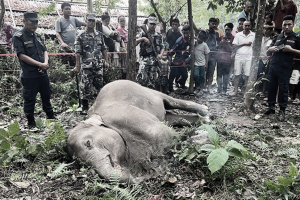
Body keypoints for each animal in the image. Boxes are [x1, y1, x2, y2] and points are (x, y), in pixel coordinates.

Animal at [67, 79, 209, 181]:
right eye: (81, 163)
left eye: (88, 143)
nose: (138, 177)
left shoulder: (131, 119)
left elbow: (171, 138)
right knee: (171, 117)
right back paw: (205, 119)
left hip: (147, 91)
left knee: (170, 101)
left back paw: (205, 111)